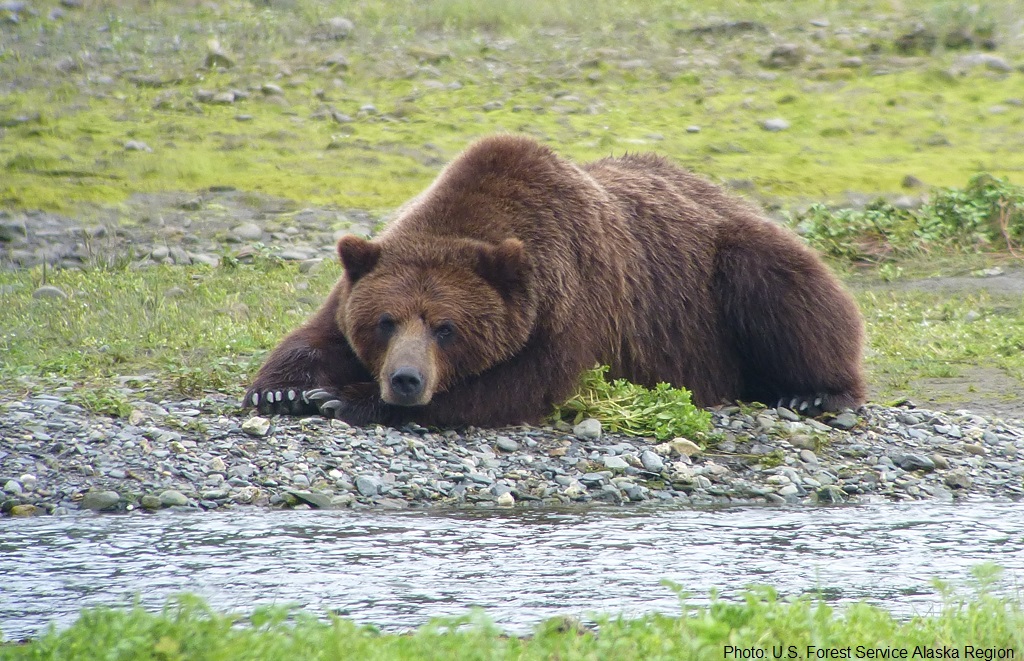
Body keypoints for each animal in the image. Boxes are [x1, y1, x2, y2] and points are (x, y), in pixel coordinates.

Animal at [244, 134, 866, 428]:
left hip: (726, 269)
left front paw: (343, 398)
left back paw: (812, 393)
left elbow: (515, 387)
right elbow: (316, 333)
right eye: (385, 321)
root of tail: (722, 191)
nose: (404, 380)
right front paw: (284, 390)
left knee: (784, 289)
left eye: (445, 327)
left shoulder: (574, 305)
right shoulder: (369, 266)